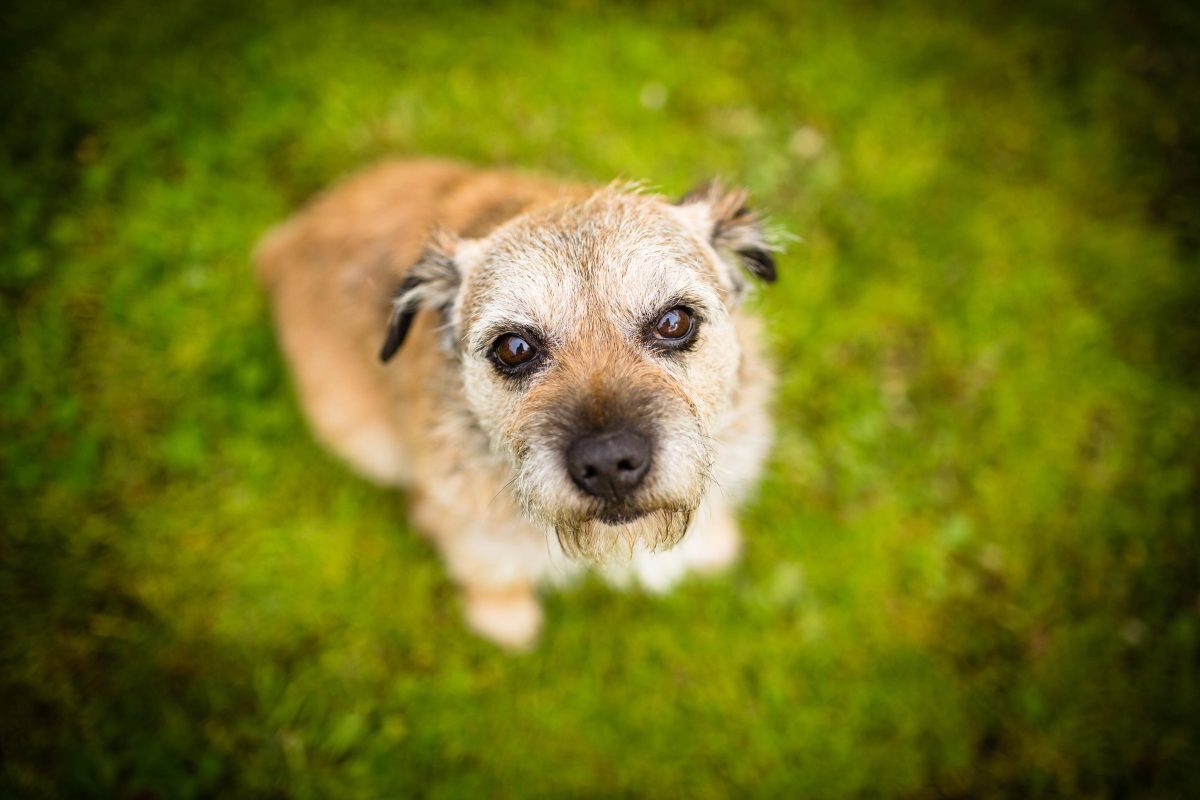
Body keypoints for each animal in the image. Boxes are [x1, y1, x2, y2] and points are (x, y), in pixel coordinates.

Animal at [255, 160, 777, 652]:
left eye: (674, 321)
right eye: (514, 348)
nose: (609, 463)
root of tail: (286, 242)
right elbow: (491, 569)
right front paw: (504, 618)